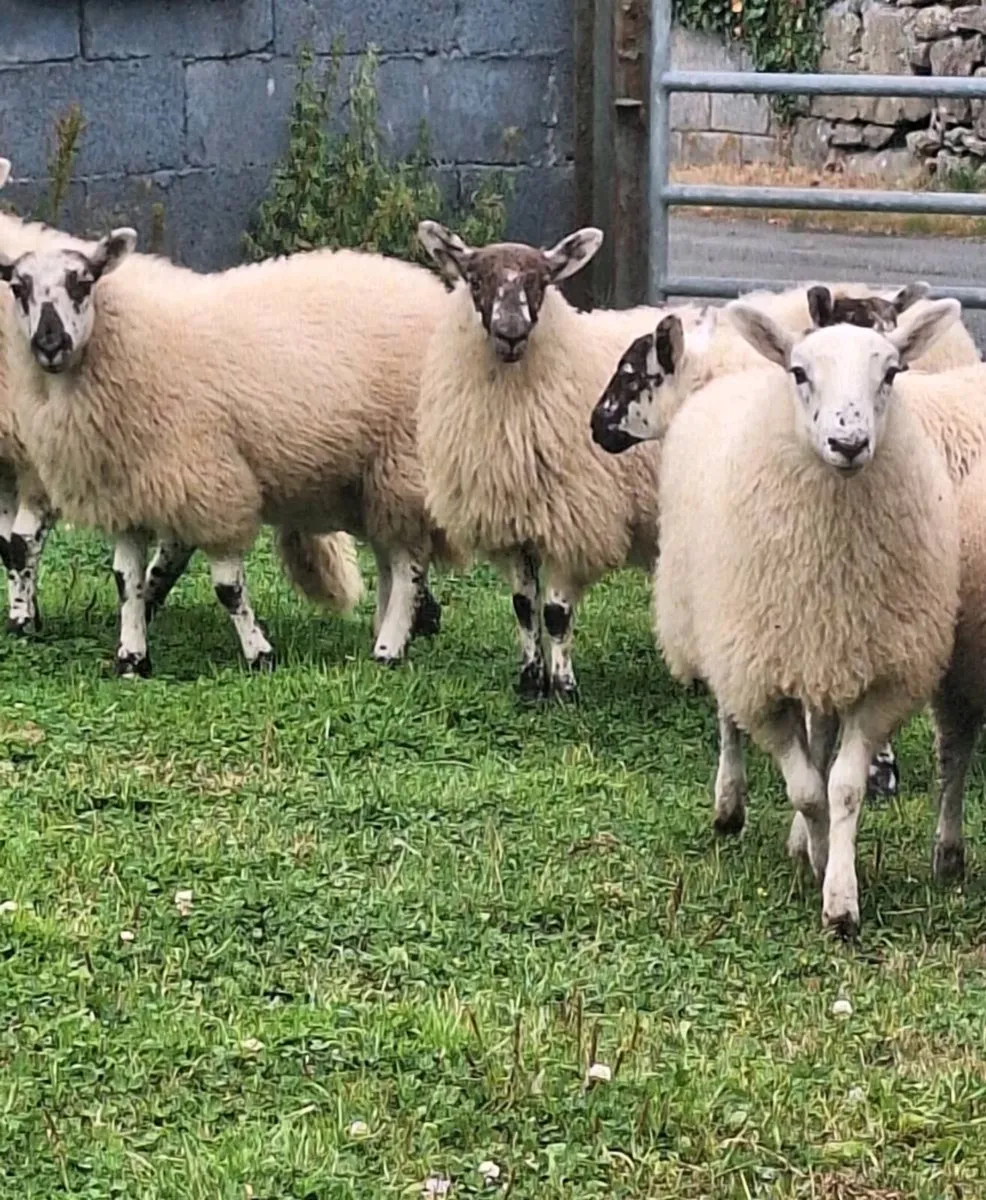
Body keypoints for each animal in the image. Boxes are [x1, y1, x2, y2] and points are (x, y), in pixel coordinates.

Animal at [0, 228, 463, 676]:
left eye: (82, 283)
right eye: (18, 288)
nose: (50, 344)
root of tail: (433, 291)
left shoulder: (213, 487)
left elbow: (228, 588)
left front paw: (260, 655)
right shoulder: (130, 495)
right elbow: (125, 581)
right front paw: (131, 657)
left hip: (402, 463)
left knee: (408, 566)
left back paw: (389, 648)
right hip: (372, 480)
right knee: (391, 558)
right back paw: (390, 628)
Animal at [415, 220, 713, 700]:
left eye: (541, 281)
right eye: (475, 280)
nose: (512, 332)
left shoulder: (572, 522)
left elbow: (555, 613)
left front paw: (564, 689)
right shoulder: (514, 526)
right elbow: (523, 606)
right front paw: (530, 681)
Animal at [593, 298, 962, 935]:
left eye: (891, 373)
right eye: (799, 372)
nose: (848, 442)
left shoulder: (880, 677)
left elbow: (841, 787)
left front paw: (839, 896)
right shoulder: (761, 677)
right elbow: (808, 790)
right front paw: (818, 857)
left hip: (820, 654)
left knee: (819, 735)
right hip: (723, 627)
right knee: (728, 722)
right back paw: (729, 807)